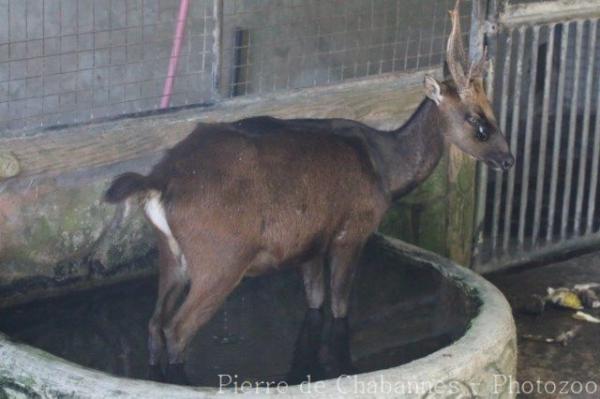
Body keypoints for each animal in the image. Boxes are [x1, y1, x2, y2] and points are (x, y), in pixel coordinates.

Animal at [105, 0, 512, 384]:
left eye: (493, 110)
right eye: (477, 122)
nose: (508, 159)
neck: (385, 169)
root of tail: (159, 181)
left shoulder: (308, 245)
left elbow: (314, 306)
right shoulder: (352, 231)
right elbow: (340, 308)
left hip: (170, 254)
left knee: (154, 325)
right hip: (220, 258)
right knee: (177, 329)